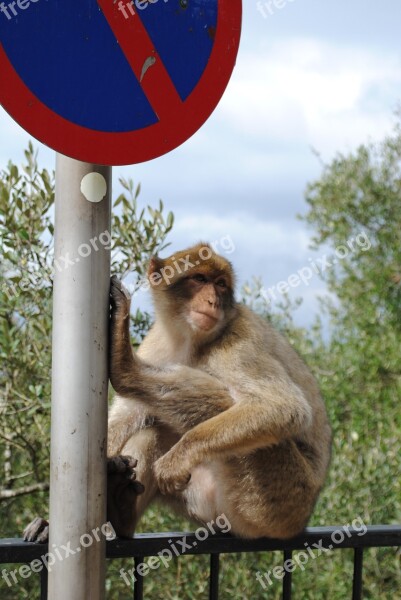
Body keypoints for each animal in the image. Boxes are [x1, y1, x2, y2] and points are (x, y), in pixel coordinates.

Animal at [23, 240, 330, 544]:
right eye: (200, 279)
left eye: (220, 284)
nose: (213, 301)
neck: (189, 339)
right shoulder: (157, 341)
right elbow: (128, 415)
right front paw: (49, 523)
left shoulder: (239, 340)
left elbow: (283, 407)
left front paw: (177, 458)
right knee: (156, 428)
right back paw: (122, 511)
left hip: (273, 497)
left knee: (221, 401)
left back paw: (126, 370)